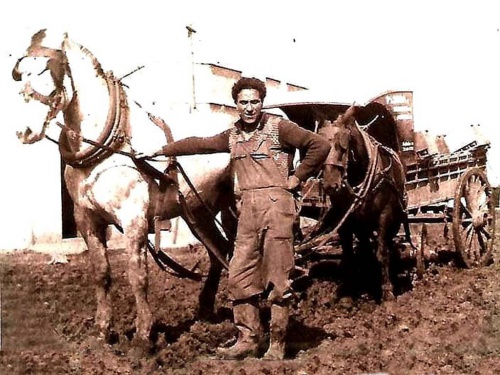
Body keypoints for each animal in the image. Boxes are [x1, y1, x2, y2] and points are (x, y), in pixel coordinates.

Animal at [11, 30, 234, 350]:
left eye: (45, 70)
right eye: (20, 73)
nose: (24, 131)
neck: (109, 148)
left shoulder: (134, 219)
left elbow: (137, 274)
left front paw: (143, 336)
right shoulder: (86, 218)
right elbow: (101, 274)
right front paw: (103, 331)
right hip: (199, 209)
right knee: (219, 252)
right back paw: (205, 309)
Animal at [320, 106, 406, 302]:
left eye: (342, 147)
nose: (330, 184)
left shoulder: (385, 215)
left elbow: (382, 253)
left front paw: (387, 291)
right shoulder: (346, 221)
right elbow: (350, 256)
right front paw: (350, 293)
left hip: (395, 220)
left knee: (387, 244)